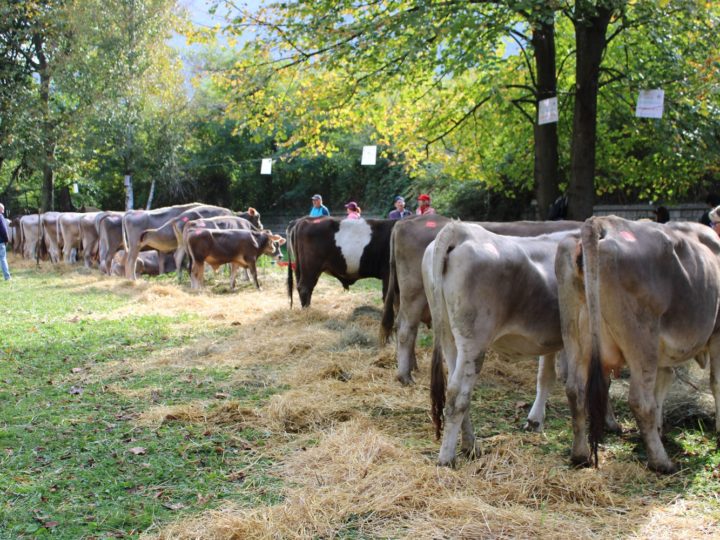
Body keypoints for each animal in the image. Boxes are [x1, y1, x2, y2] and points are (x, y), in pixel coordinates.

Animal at [424, 221, 584, 466]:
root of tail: (461, 229)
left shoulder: (550, 340)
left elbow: (545, 377)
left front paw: (535, 421)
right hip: (474, 341)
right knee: (456, 395)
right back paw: (446, 458)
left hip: (449, 335)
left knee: (456, 387)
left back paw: (471, 446)